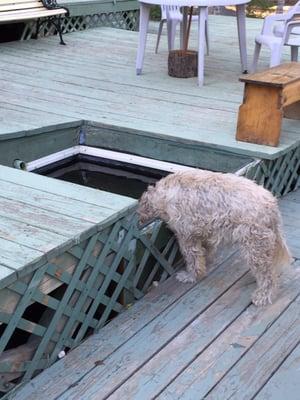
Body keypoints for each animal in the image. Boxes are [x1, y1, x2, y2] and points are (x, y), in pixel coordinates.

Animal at [137, 170, 292, 306]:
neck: (165, 194)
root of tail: (272, 205)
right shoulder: (204, 231)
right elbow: (206, 250)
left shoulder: (186, 236)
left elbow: (193, 260)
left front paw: (191, 276)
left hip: (255, 246)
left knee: (268, 276)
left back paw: (263, 296)